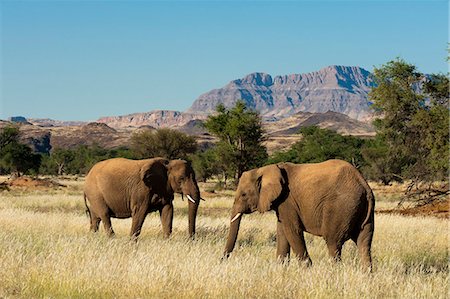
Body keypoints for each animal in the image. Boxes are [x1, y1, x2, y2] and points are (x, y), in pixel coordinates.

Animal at [223, 161, 374, 270]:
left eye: (244, 195)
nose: (222, 260)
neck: (265, 169)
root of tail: (363, 185)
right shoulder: (282, 204)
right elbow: (282, 232)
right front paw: (281, 269)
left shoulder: (287, 200)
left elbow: (292, 231)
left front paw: (307, 270)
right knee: (364, 243)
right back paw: (366, 275)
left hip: (340, 207)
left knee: (333, 243)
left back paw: (333, 274)